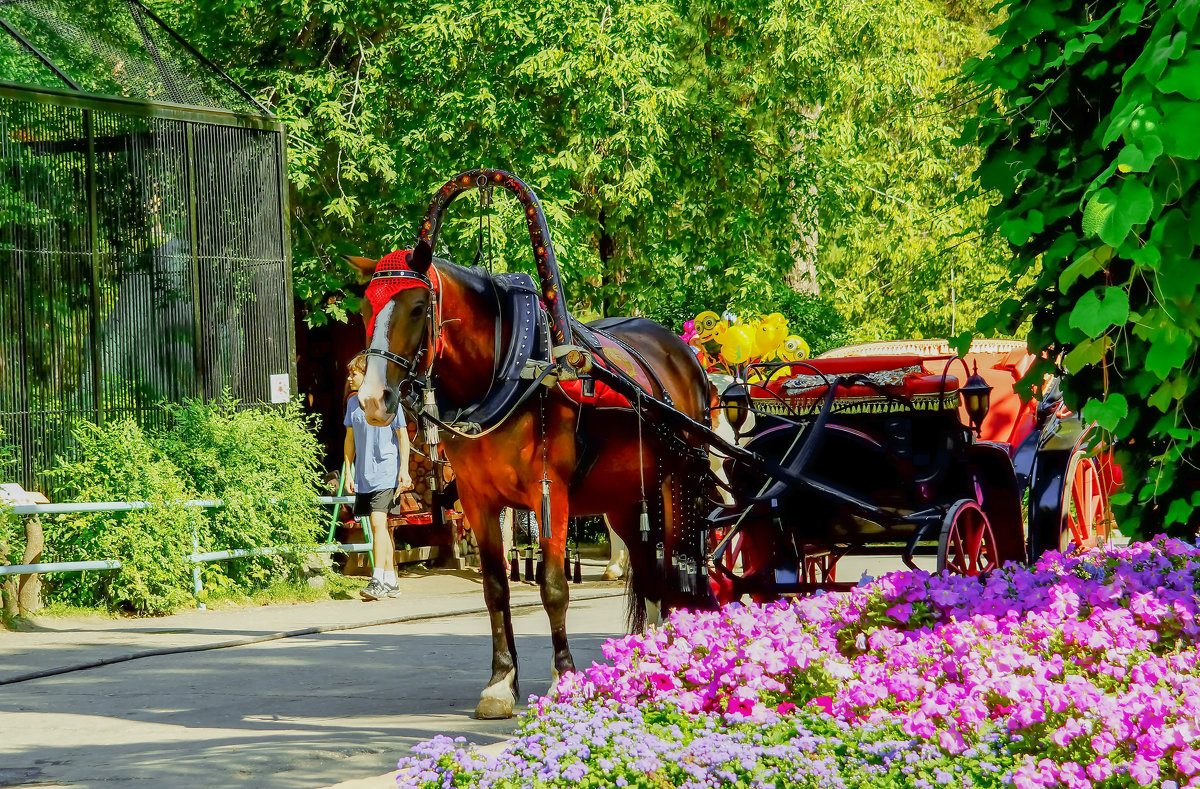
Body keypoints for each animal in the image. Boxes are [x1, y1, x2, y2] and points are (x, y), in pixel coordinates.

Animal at [352, 249, 710, 714]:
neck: (508, 372)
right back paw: (645, 662)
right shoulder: (478, 500)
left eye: (416, 308)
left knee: (675, 568)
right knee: (649, 572)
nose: (372, 400)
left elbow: (554, 587)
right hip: (627, 499)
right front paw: (501, 682)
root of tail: (682, 352)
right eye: (365, 309)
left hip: (677, 485)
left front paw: (564, 678)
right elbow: (494, 590)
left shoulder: (550, 494)